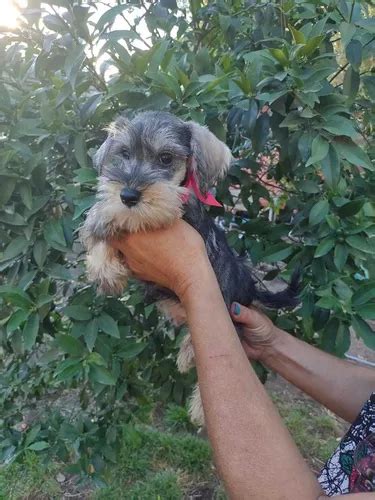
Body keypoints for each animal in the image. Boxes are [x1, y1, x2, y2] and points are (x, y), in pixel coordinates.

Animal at [82, 111, 300, 424]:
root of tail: (250, 283)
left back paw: (197, 400)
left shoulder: (171, 216)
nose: (128, 195)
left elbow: (135, 216)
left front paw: (104, 217)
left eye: (165, 158)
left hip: (230, 309)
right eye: (123, 154)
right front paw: (103, 261)